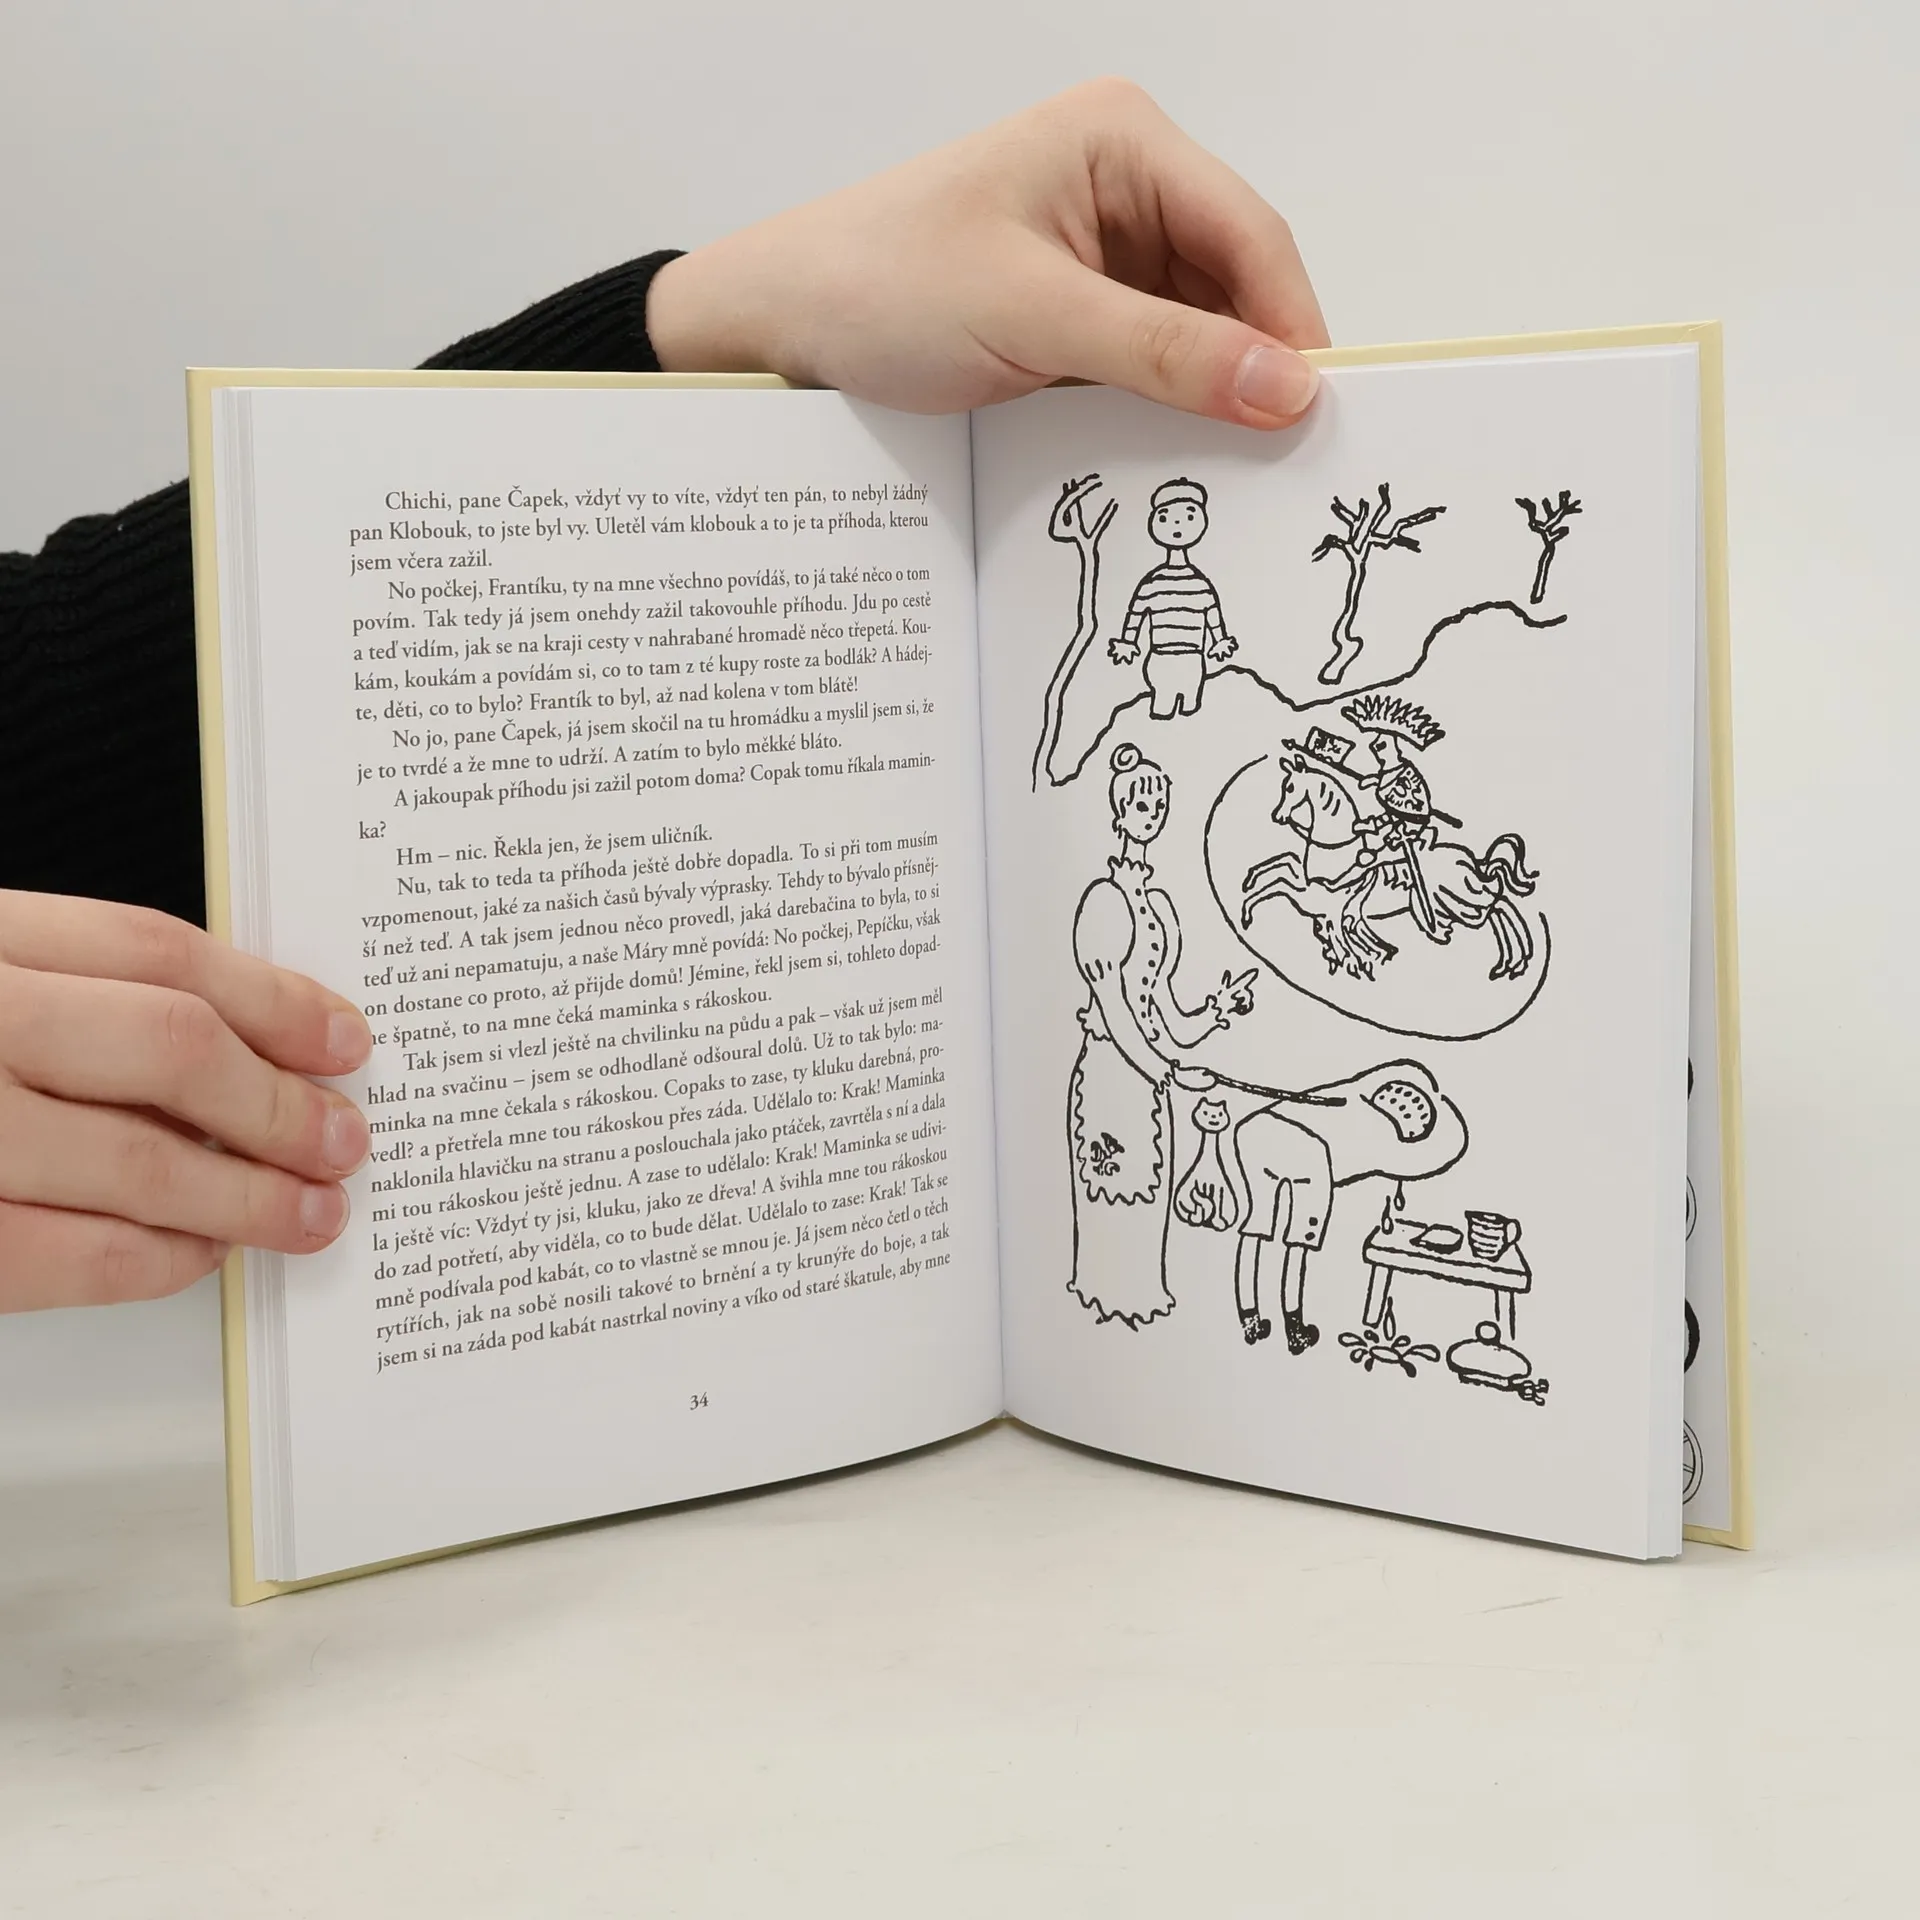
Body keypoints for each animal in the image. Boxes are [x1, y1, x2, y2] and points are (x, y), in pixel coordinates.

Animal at [1240, 751, 1538, 982]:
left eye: (1290, 788)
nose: (1278, 816)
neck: (1337, 845)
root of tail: (1471, 860)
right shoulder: (1307, 882)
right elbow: (1282, 864)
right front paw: (1249, 880)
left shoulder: (1316, 897)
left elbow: (1279, 884)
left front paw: (1246, 912)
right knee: (1500, 906)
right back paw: (1511, 963)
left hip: (1461, 902)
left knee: (1499, 904)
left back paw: (1514, 960)